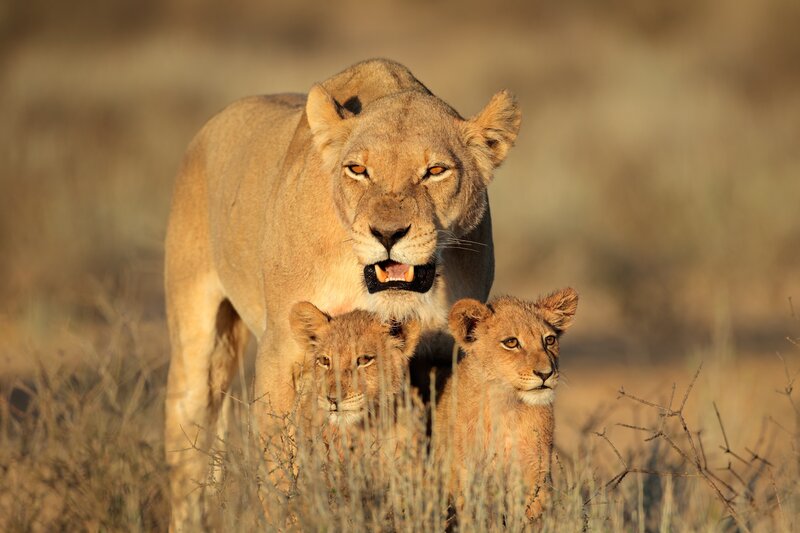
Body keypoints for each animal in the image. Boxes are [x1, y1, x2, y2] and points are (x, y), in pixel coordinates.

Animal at [164, 58, 520, 529]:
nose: (387, 234)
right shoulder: (282, 351)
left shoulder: (444, 359)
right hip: (196, 339)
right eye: (358, 170)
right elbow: (280, 467)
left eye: (435, 171)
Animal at [434, 288, 578, 521]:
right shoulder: (467, 472)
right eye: (511, 343)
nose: (546, 373)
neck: (506, 406)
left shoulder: (535, 471)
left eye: (549, 340)